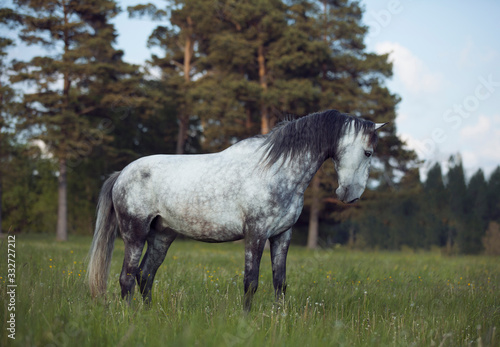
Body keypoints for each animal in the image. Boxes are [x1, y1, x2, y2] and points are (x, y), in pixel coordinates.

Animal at [87, 110, 386, 312]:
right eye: (368, 152)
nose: (350, 195)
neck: (276, 171)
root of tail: (122, 173)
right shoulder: (256, 234)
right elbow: (250, 281)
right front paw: (246, 319)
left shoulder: (282, 235)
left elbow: (280, 281)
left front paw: (279, 317)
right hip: (135, 234)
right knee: (126, 278)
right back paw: (131, 317)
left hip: (162, 236)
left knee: (145, 275)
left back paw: (150, 314)